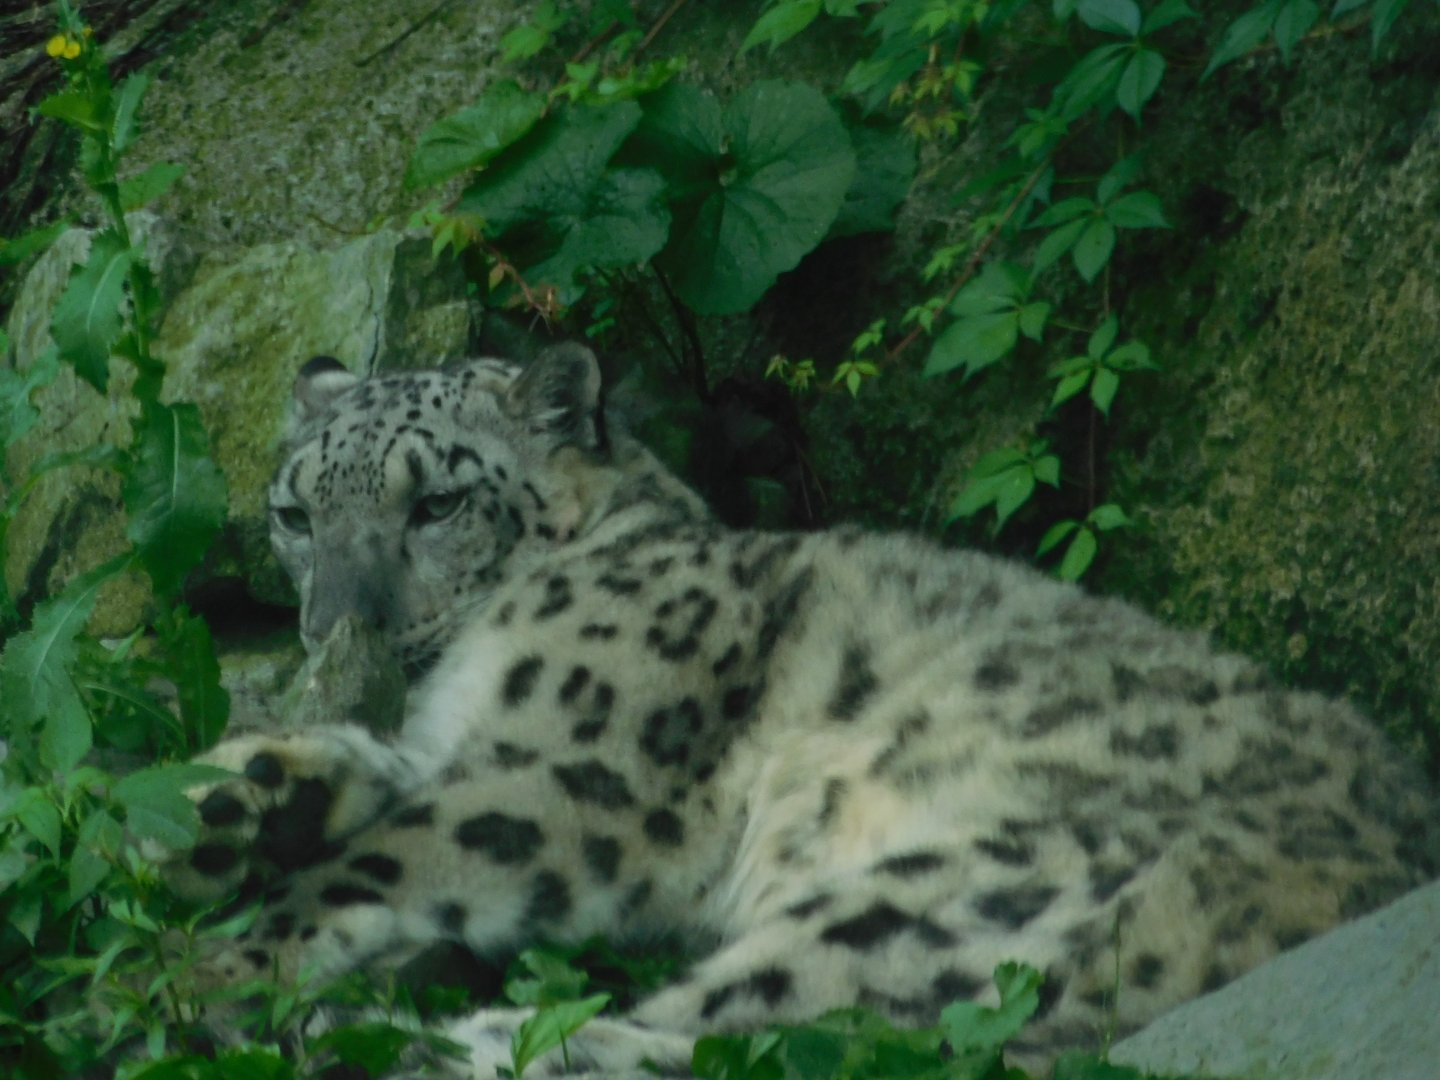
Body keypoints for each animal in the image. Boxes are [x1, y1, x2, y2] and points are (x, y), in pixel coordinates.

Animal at [167, 342, 1439, 1077]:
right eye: (294, 512)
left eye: (433, 504)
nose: (333, 624)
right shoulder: (466, 743)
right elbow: (370, 774)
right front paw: (240, 798)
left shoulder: (574, 772)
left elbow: (393, 858)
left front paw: (212, 968)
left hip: (939, 905)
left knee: (769, 1041)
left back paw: (417, 1044)